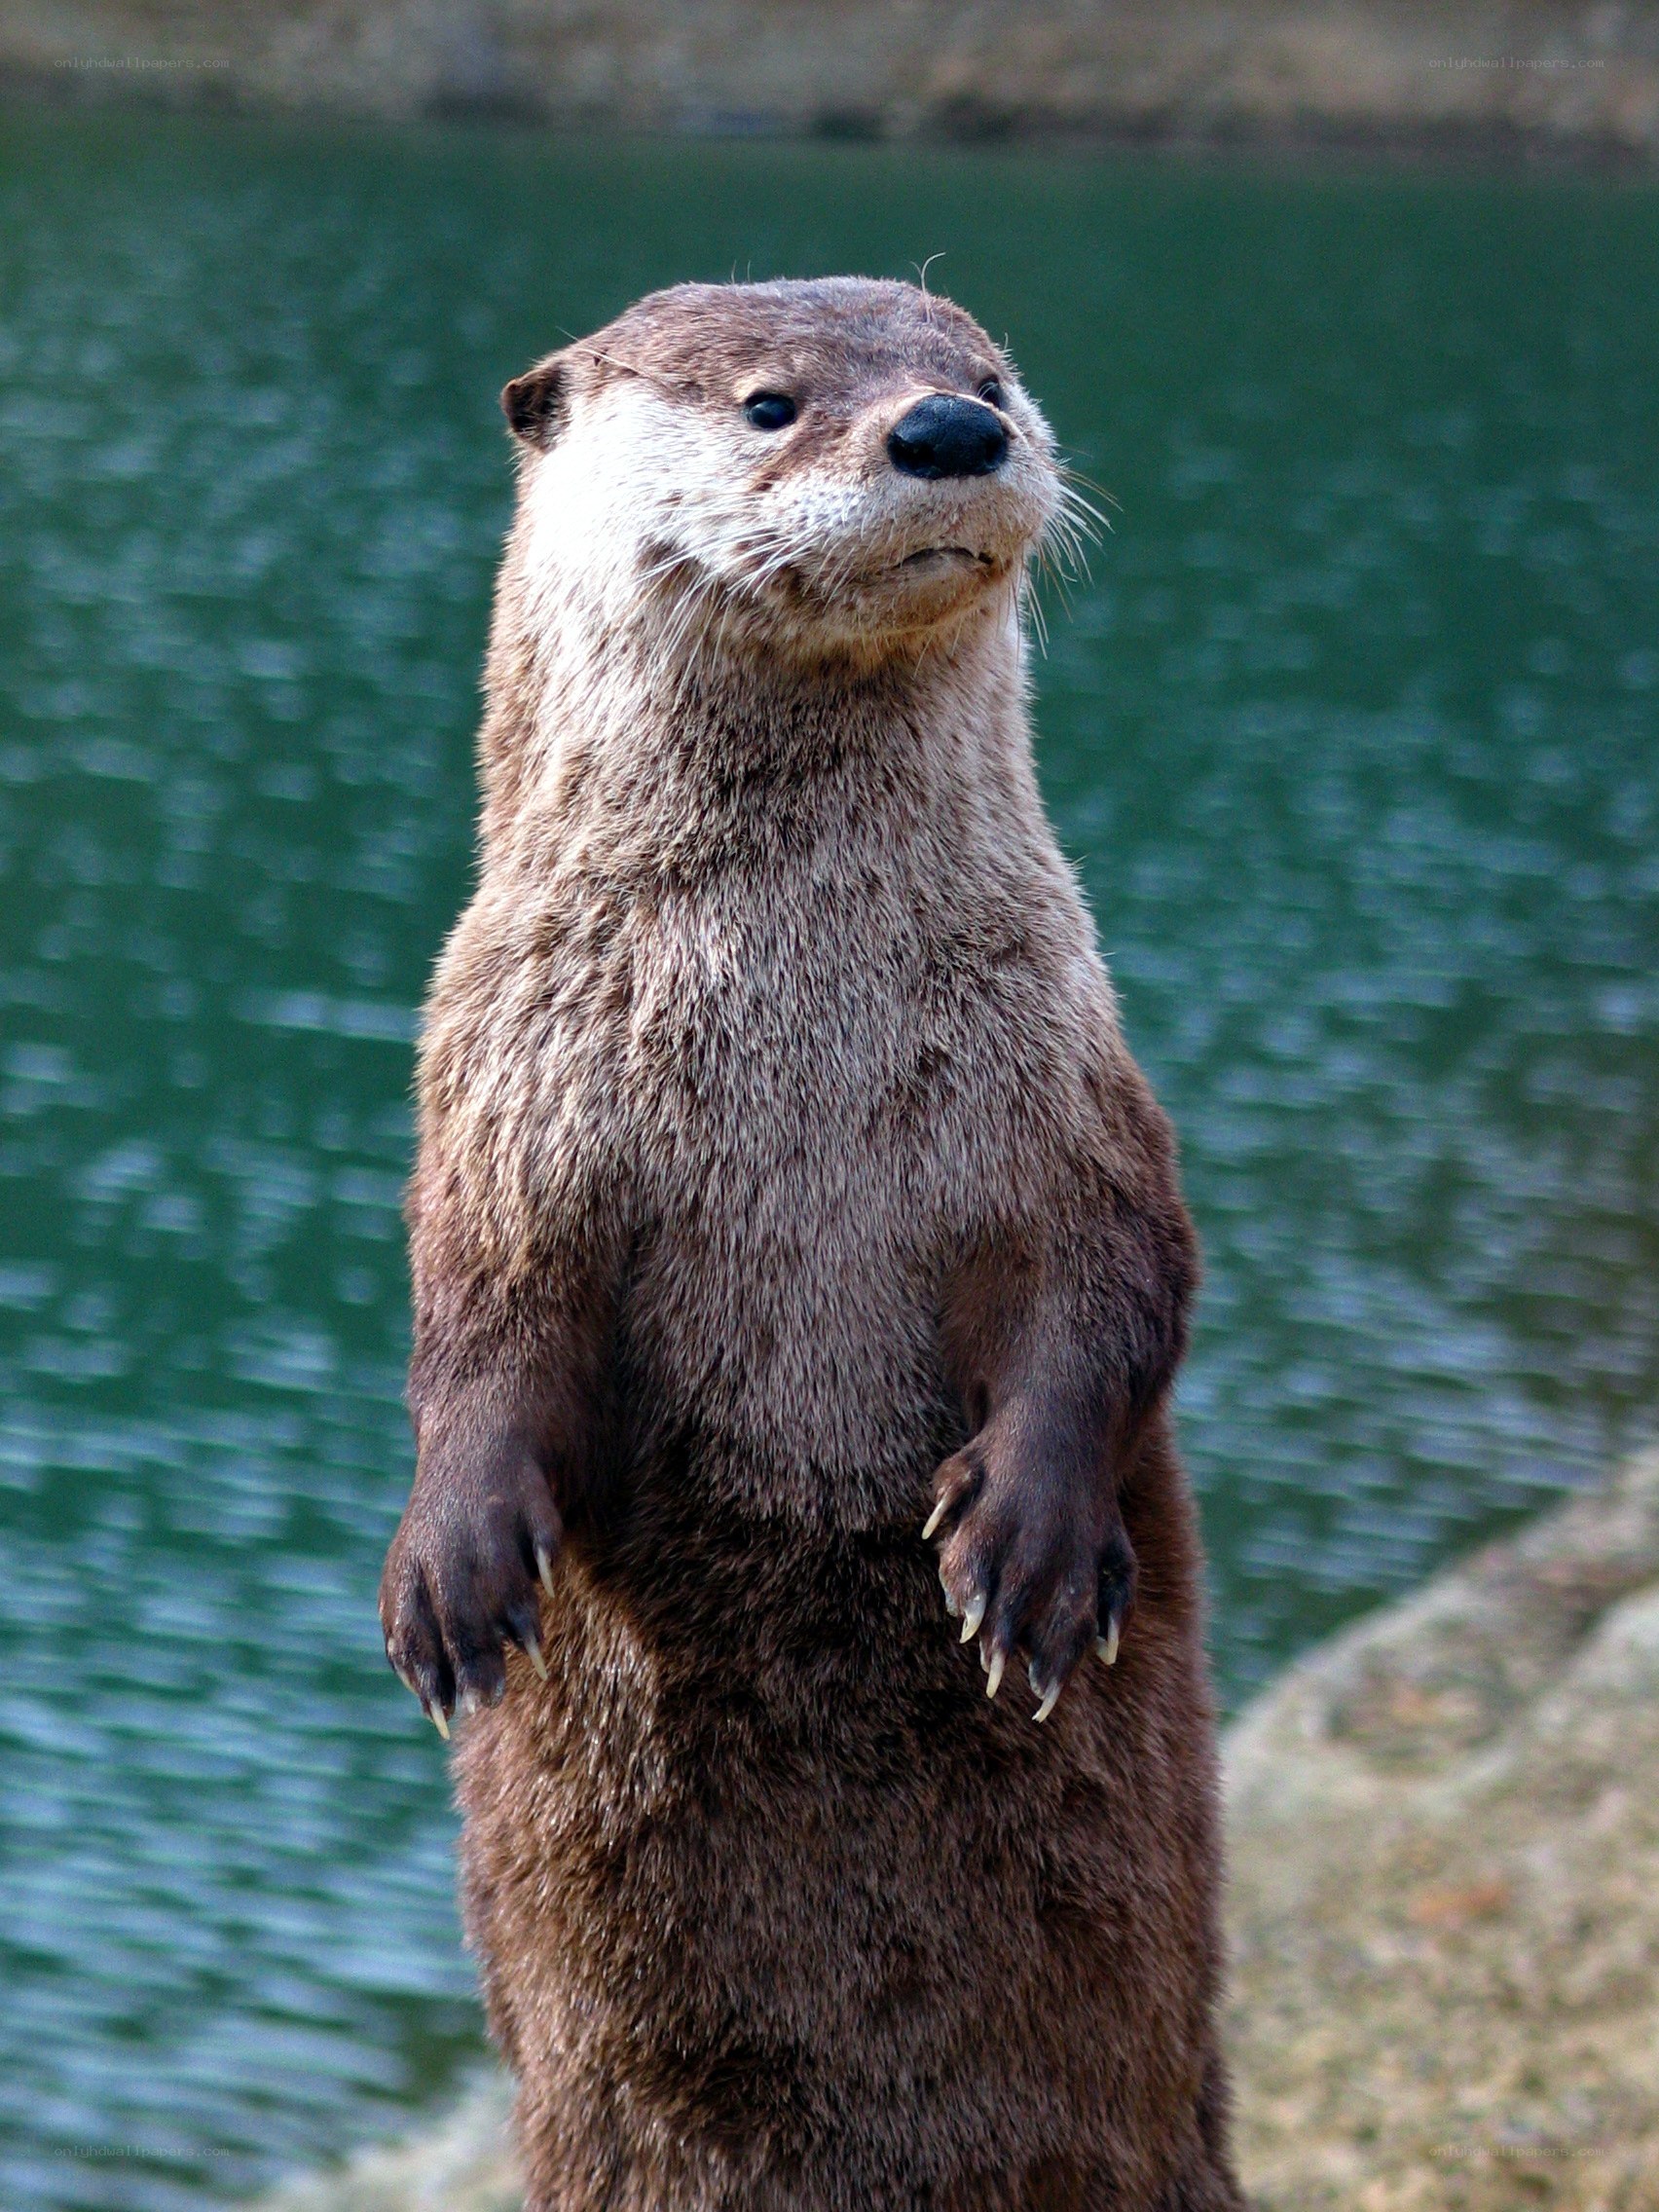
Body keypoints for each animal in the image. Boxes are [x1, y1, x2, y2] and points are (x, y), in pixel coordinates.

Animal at [379, 277, 1244, 2212]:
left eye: (987, 372)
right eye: (770, 403)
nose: (948, 429)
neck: (798, 1006)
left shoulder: (1061, 1077)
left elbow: (1115, 1285)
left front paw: (1027, 1541)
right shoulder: (502, 1090)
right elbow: (479, 1324)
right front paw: (453, 1559)